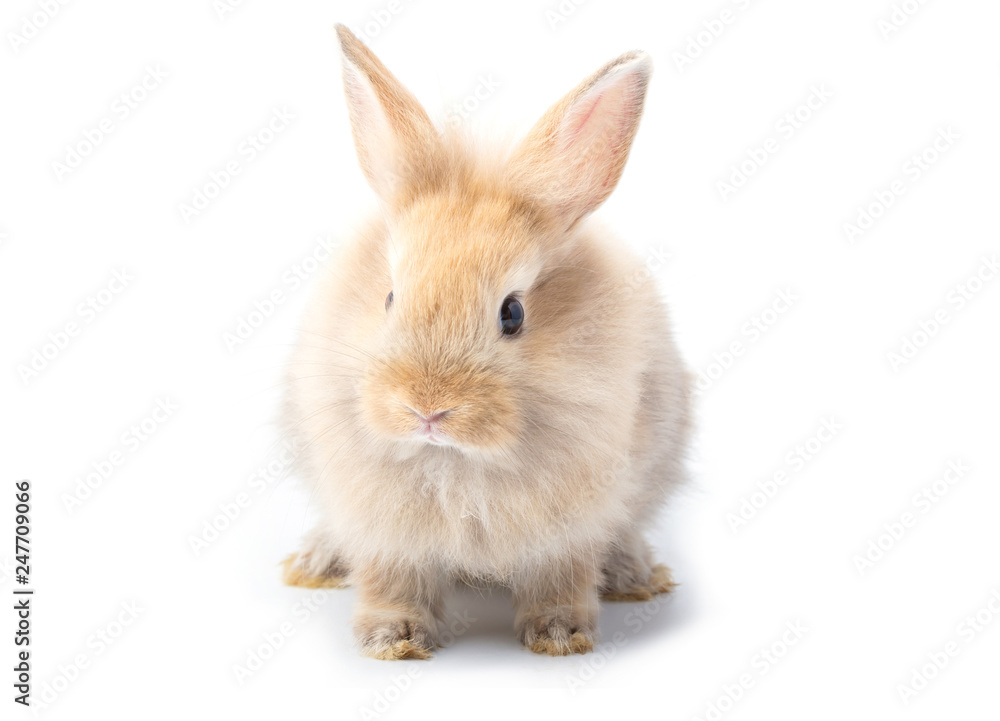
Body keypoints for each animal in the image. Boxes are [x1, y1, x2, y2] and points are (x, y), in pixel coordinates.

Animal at [278, 25, 692, 660]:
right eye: (390, 297)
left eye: (513, 313)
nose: (426, 409)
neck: (455, 461)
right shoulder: (382, 531)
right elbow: (389, 580)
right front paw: (391, 639)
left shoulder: (570, 532)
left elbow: (562, 579)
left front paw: (561, 635)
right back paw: (316, 563)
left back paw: (633, 576)